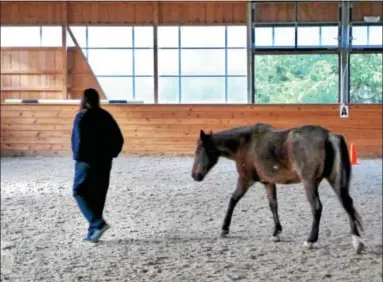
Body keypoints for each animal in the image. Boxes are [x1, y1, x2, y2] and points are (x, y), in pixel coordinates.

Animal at [192, 122, 366, 254]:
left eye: (198, 150)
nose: (195, 175)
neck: (245, 143)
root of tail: (329, 135)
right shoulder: (269, 182)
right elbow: (273, 205)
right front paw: (276, 232)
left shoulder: (245, 180)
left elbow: (233, 200)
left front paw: (224, 229)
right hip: (335, 180)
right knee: (347, 204)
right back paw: (357, 242)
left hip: (309, 183)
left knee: (317, 207)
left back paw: (310, 241)